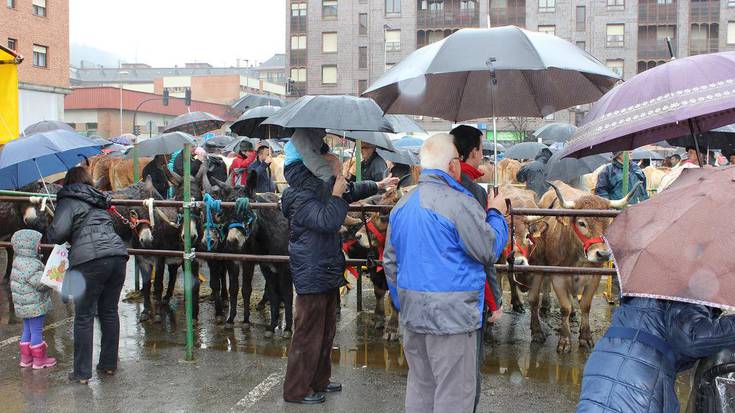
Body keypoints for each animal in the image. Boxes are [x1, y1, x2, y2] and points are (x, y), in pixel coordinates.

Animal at [528, 179, 640, 352]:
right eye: (582, 223)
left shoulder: (594, 275)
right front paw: (565, 339)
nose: (603, 254)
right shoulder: (557, 275)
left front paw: (585, 336)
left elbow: (586, 305)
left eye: (607, 223)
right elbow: (564, 307)